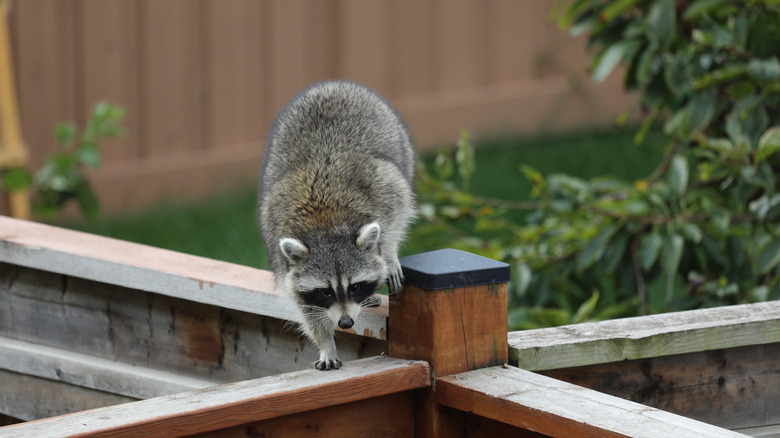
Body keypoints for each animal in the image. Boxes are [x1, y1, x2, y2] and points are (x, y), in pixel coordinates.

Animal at [258, 81, 418, 370]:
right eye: (325, 291)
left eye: (354, 286)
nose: (345, 322)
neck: (325, 226)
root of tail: (333, 84)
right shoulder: (282, 249)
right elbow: (307, 309)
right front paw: (326, 343)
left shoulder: (384, 189)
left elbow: (396, 212)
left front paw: (388, 254)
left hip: (400, 146)